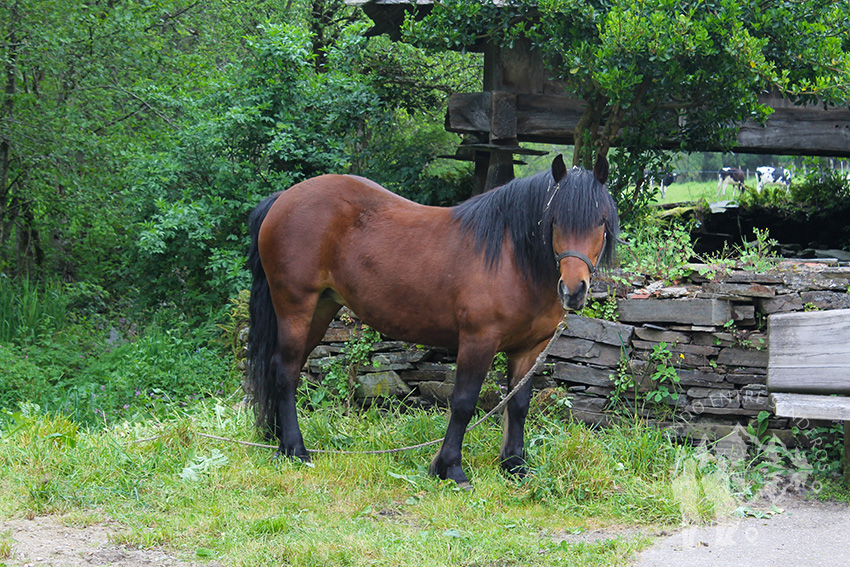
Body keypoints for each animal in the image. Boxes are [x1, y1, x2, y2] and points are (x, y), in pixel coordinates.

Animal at [245, 155, 616, 488]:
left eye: (600, 220)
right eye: (555, 219)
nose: (573, 290)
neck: (511, 257)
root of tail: (284, 199)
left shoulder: (530, 348)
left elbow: (519, 404)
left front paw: (514, 466)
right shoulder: (478, 340)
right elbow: (464, 403)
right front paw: (450, 469)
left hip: (320, 310)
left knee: (287, 371)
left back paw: (280, 442)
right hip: (295, 306)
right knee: (286, 370)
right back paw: (296, 450)